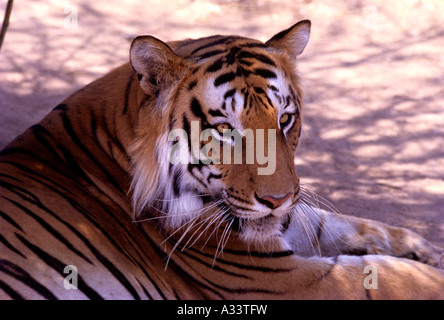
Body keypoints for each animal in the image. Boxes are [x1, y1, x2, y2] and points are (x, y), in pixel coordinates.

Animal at [0, 20, 444, 300]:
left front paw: (425, 249)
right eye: (226, 129)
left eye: (285, 120)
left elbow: (353, 227)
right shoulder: (288, 281)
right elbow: (393, 276)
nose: (278, 201)